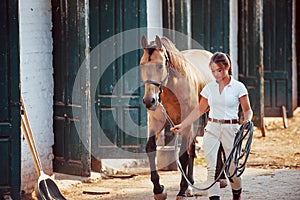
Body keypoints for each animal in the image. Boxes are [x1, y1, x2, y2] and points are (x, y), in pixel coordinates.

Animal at [140, 35, 213, 199]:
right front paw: (159, 190)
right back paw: (190, 185)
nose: (149, 101)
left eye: (160, 66)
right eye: (142, 65)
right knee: (192, 148)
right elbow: (150, 148)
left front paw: (181, 191)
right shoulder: (157, 122)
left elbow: (183, 155)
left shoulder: (185, 124)